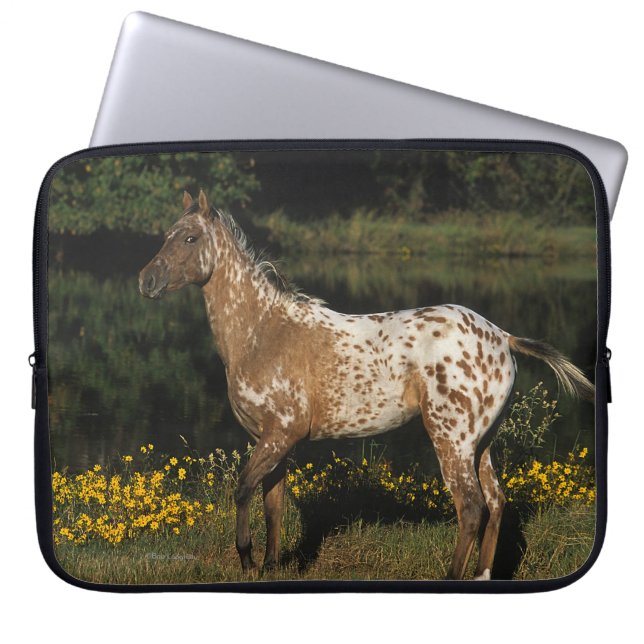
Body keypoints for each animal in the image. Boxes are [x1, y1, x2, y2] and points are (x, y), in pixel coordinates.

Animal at [138, 190, 594, 580]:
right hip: (481, 443)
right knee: (496, 503)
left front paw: (247, 559)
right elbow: (273, 503)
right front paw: (268, 566)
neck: (262, 331)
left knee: (471, 508)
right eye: (165, 236)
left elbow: (243, 489)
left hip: (452, 439)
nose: (146, 281)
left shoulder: (280, 434)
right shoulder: (272, 440)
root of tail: (502, 336)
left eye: (191, 238)